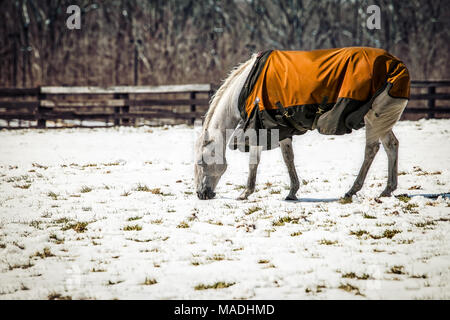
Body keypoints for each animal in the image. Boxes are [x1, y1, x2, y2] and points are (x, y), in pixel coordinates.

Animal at [195, 47, 410, 200]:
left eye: (201, 162)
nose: (201, 194)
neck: (247, 86)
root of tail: (396, 65)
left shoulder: (259, 128)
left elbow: (254, 162)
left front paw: (246, 192)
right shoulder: (281, 127)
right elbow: (288, 158)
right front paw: (292, 192)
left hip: (374, 117)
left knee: (371, 149)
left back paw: (352, 190)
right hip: (381, 119)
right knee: (391, 146)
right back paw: (387, 190)